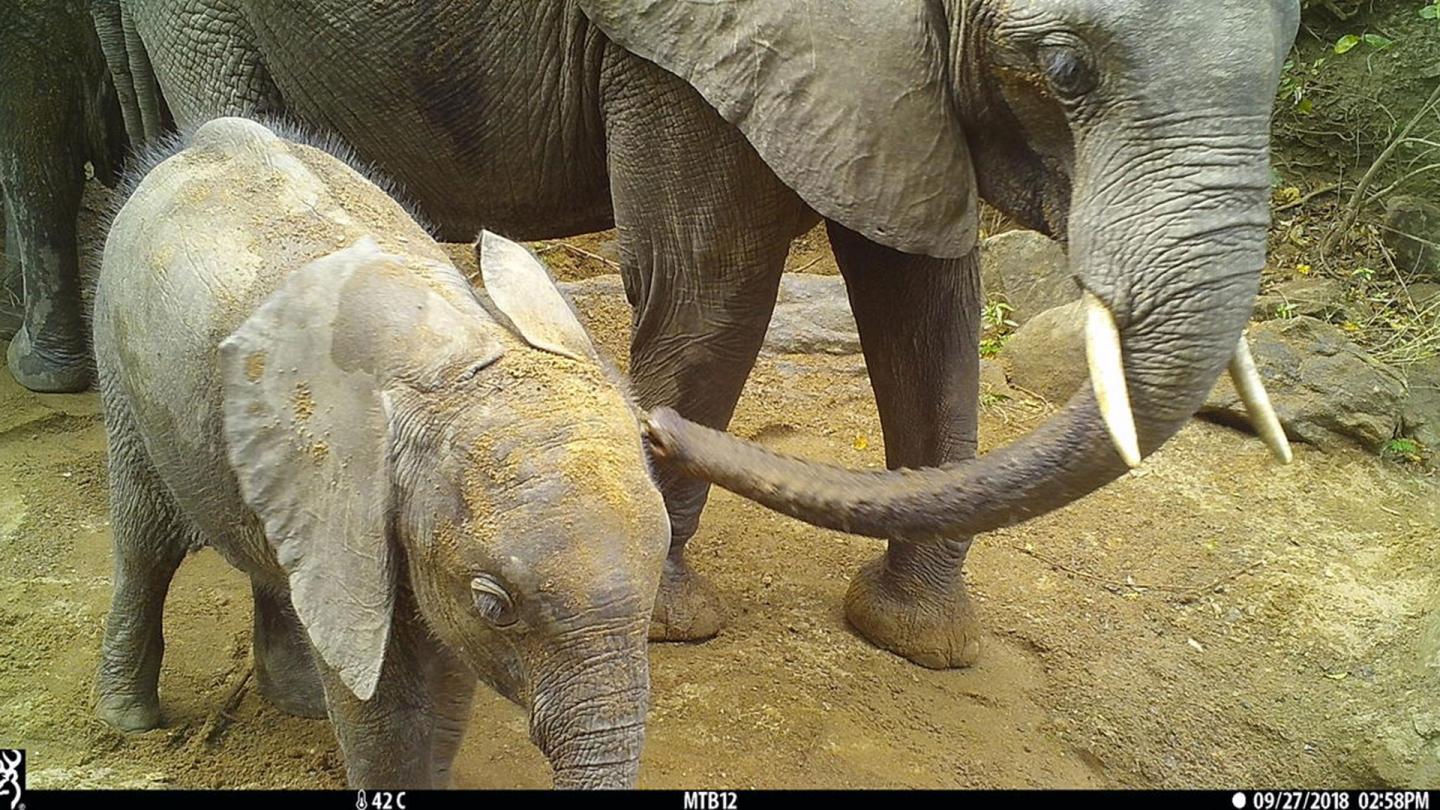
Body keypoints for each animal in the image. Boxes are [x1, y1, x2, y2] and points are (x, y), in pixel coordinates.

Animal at [84, 0, 1301, 670]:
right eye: (1065, 69)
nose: (643, 426)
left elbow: (928, 307)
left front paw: (918, 641)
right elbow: (711, 287)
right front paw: (674, 625)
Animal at [92, 117, 671, 789]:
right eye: (495, 605)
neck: (461, 363)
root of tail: (201, 140)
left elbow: (446, 678)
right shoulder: (355, 508)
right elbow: (383, 702)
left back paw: (298, 704)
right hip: (119, 362)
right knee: (145, 543)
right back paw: (127, 722)